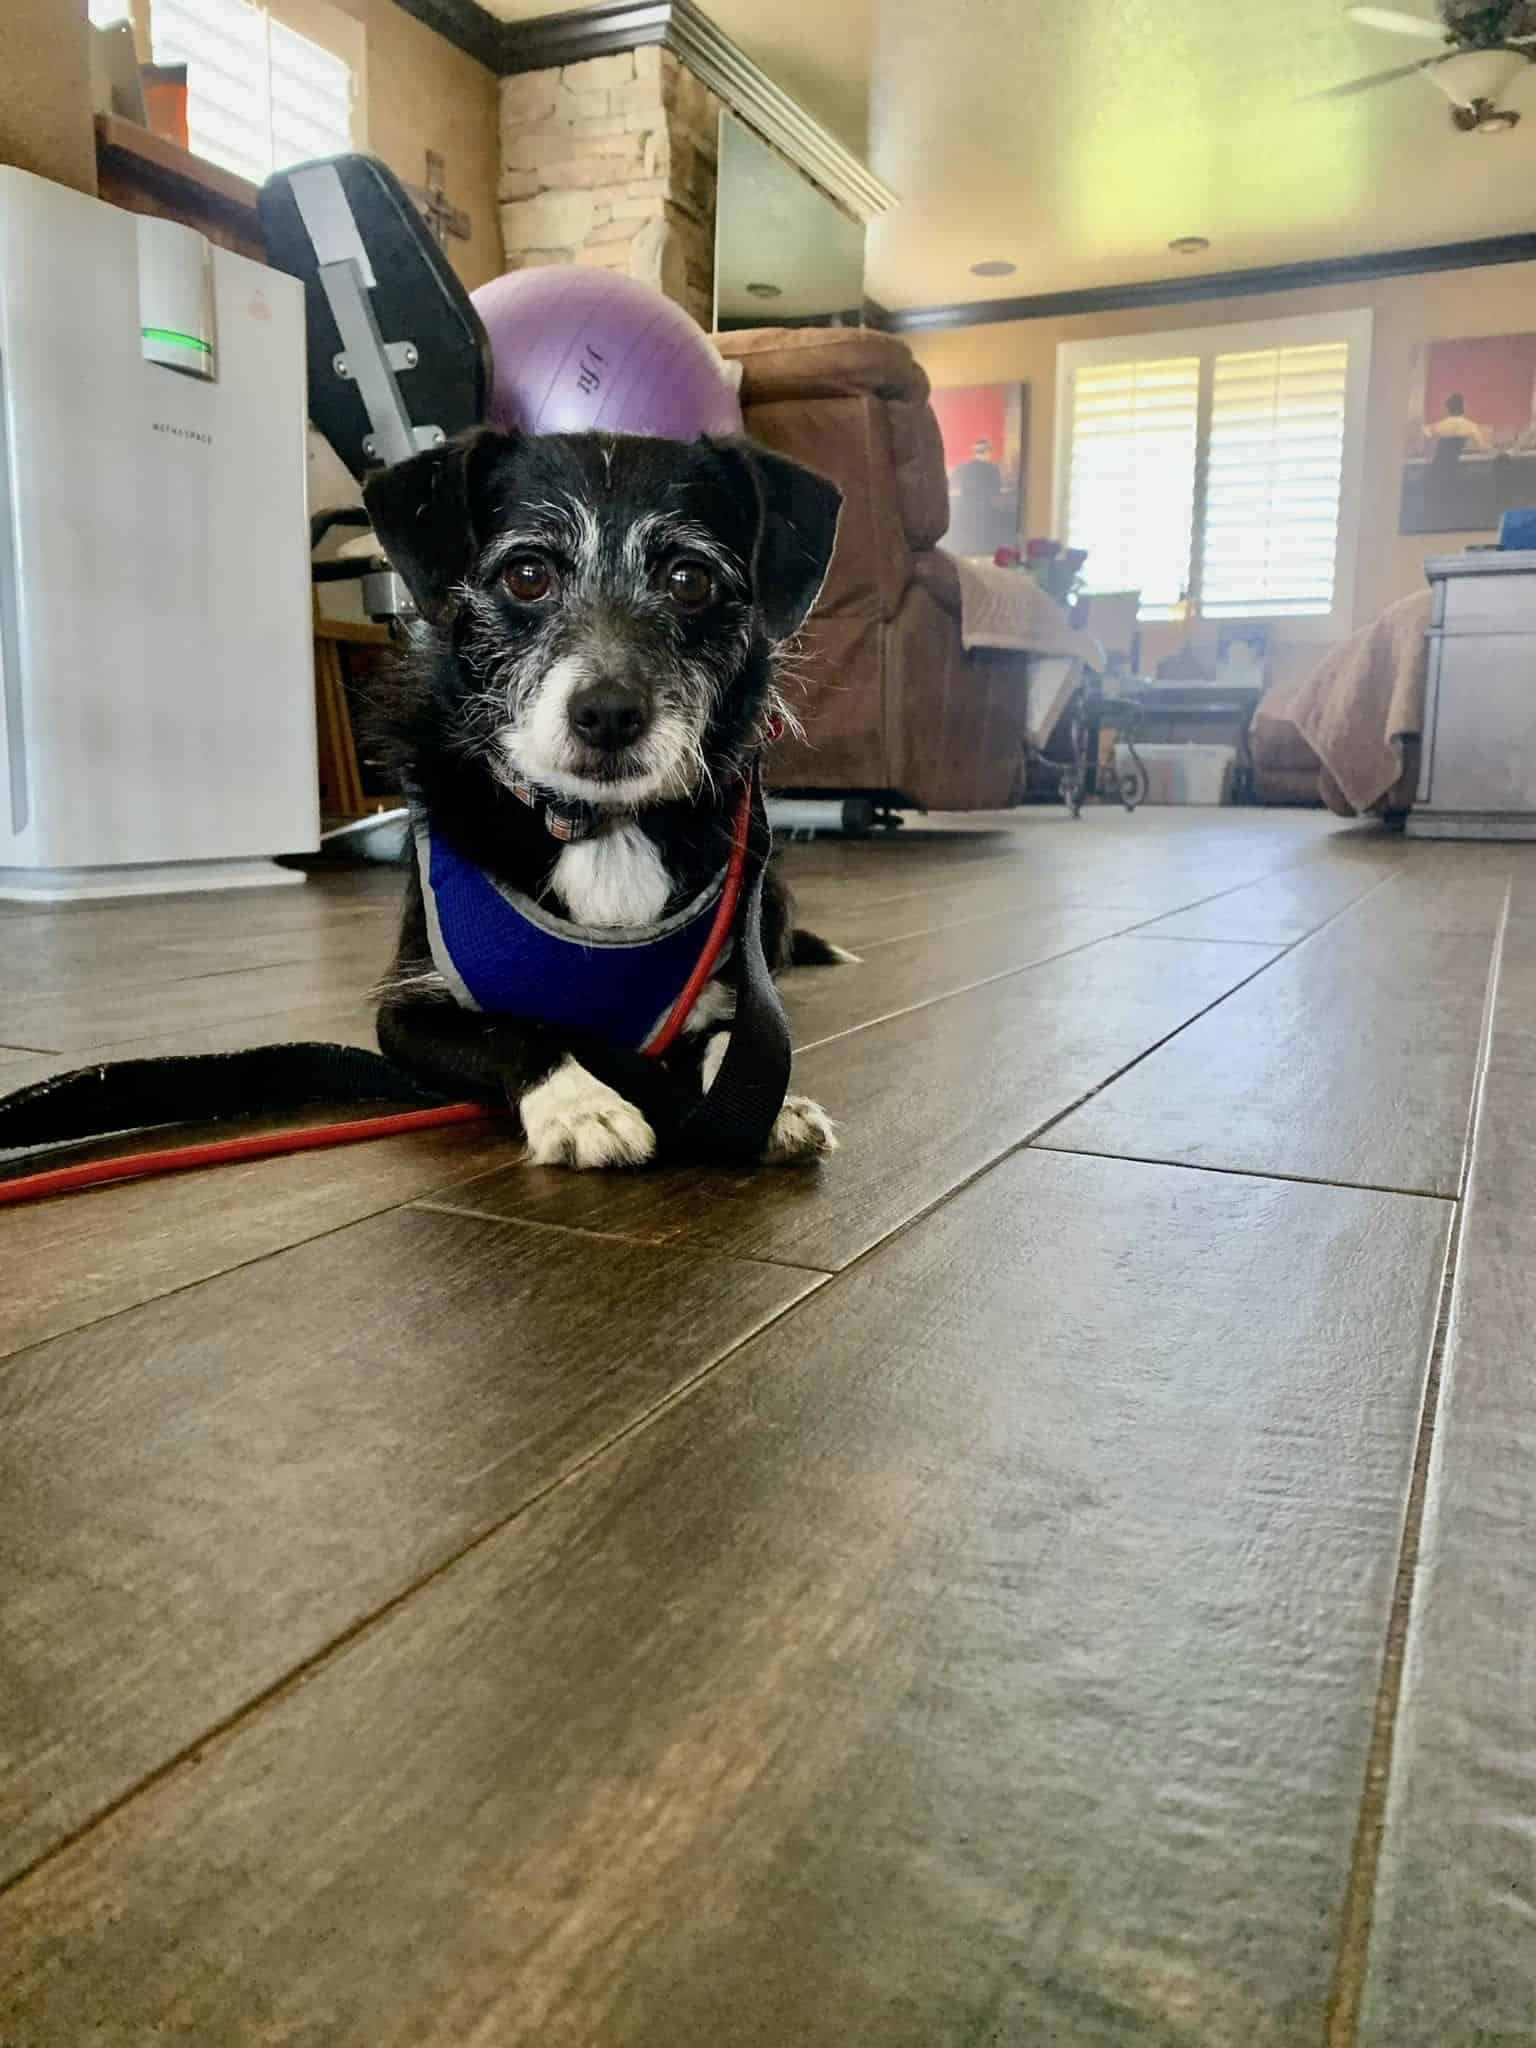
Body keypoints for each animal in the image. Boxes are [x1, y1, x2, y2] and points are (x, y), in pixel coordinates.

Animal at [362, 423, 856, 1179]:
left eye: (689, 581)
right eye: (527, 574)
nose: (610, 714)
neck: (598, 823)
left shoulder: (726, 987)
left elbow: (735, 1038)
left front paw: (771, 1104)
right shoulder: (410, 1009)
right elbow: (517, 1028)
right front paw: (581, 1107)